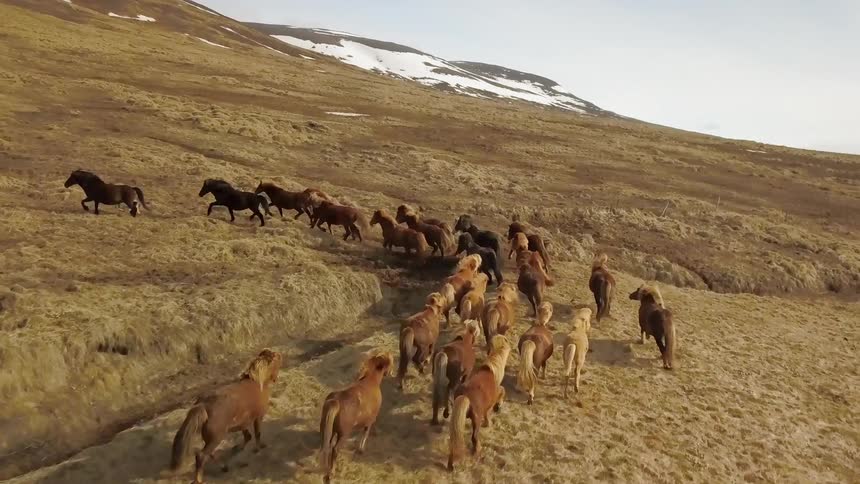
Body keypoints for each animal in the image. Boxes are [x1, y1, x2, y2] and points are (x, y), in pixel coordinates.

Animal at [170, 349, 282, 484]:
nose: (276, 379)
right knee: (201, 455)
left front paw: (239, 448)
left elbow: (247, 436)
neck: (257, 382)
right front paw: (259, 448)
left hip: (211, 438)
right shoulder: (257, 417)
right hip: (217, 437)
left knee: (210, 453)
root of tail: (203, 405)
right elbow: (257, 434)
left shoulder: (243, 422)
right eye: (276, 360)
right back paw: (199, 479)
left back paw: (224, 467)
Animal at [320, 350, 394, 483]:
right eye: (390, 361)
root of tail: (336, 402)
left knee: (327, 445)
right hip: (343, 434)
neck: (370, 380)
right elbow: (366, 432)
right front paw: (361, 449)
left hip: (328, 429)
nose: (391, 372)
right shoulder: (371, 419)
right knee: (335, 449)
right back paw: (331, 473)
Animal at [447, 334, 511, 471]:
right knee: (474, 438)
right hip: (475, 420)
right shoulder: (495, 393)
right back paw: (477, 451)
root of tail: (465, 396)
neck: (491, 370)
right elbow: (502, 391)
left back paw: (451, 464)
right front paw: (497, 408)